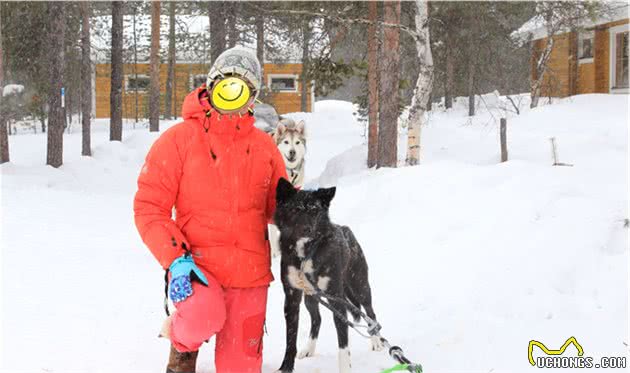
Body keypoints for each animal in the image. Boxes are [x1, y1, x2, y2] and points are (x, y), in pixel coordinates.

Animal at [274, 177, 382, 372]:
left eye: (314, 210)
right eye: (294, 209)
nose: (307, 229)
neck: (306, 254)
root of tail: (346, 230)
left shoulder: (336, 298)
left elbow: (343, 342)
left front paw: (345, 367)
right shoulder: (292, 298)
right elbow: (290, 339)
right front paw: (286, 367)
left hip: (360, 286)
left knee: (370, 312)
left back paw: (376, 340)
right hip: (311, 298)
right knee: (317, 319)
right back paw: (309, 348)